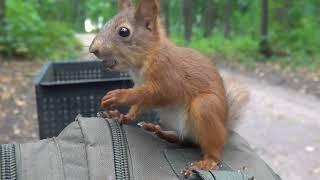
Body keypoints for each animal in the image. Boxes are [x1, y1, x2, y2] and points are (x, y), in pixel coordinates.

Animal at [89, 0, 249, 175]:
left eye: (124, 31)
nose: (93, 49)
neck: (147, 57)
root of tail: (224, 128)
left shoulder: (168, 77)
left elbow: (147, 93)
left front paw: (118, 96)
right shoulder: (141, 84)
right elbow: (138, 105)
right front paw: (122, 116)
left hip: (205, 107)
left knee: (214, 148)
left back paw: (208, 161)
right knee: (182, 140)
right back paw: (158, 130)